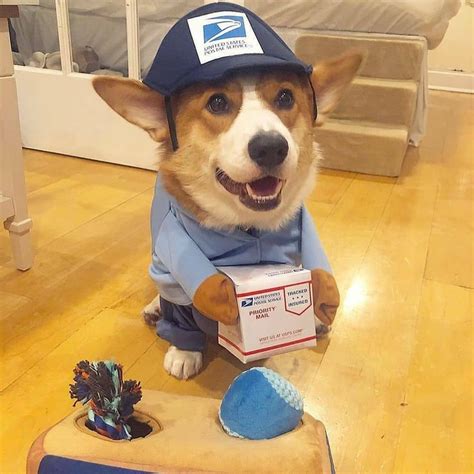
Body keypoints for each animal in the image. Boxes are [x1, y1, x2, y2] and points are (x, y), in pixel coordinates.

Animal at [92, 50, 362, 380]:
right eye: (217, 103)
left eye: (285, 97)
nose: (270, 147)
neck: (248, 229)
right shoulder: (175, 259)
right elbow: (180, 307)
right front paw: (184, 352)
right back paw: (155, 306)